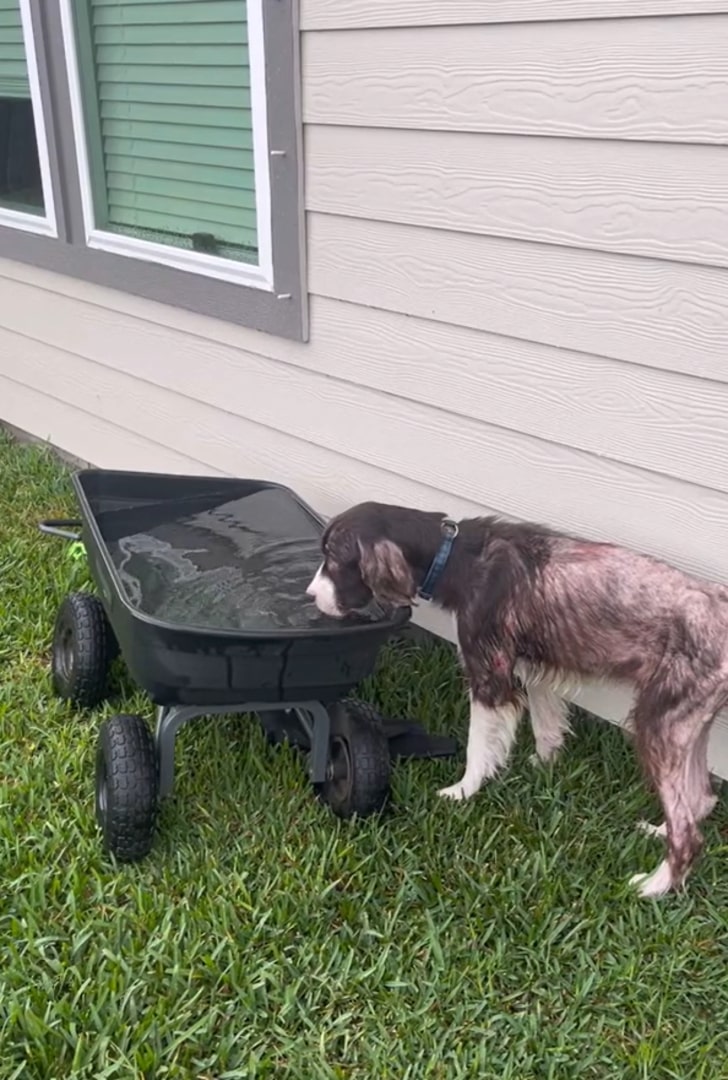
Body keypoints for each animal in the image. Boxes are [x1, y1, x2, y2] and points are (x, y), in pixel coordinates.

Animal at [306, 501, 725, 898]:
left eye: (334, 557)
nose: (310, 595)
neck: (455, 555)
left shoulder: (490, 677)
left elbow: (478, 747)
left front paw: (462, 791)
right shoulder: (535, 670)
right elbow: (546, 729)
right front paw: (543, 768)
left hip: (659, 723)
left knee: (689, 830)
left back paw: (654, 886)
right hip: (686, 725)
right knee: (699, 799)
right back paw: (658, 832)